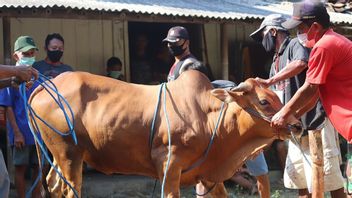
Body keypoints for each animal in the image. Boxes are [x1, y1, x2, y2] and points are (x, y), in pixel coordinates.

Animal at [29, 70, 300, 197]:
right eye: (264, 101)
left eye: (277, 96)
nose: (297, 124)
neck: (208, 118)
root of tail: (46, 84)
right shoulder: (170, 165)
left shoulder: (208, 176)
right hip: (69, 154)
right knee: (68, 189)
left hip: (60, 156)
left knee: (53, 186)